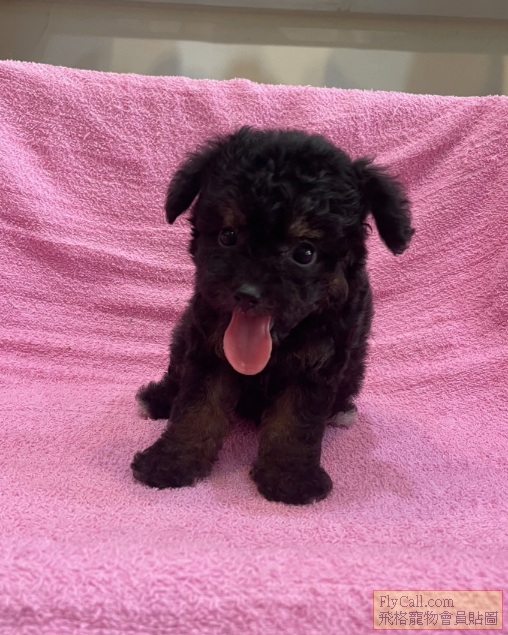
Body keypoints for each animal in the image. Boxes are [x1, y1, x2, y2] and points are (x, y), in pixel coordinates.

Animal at [131, 126, 414, 505]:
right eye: (228, 235)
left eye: (305, 253)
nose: (247, 294)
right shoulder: (208, 349)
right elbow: (196, 409)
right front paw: (171, 461)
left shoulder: (317, 364)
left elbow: (295, 423)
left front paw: (289, 477)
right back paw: (158, 399)